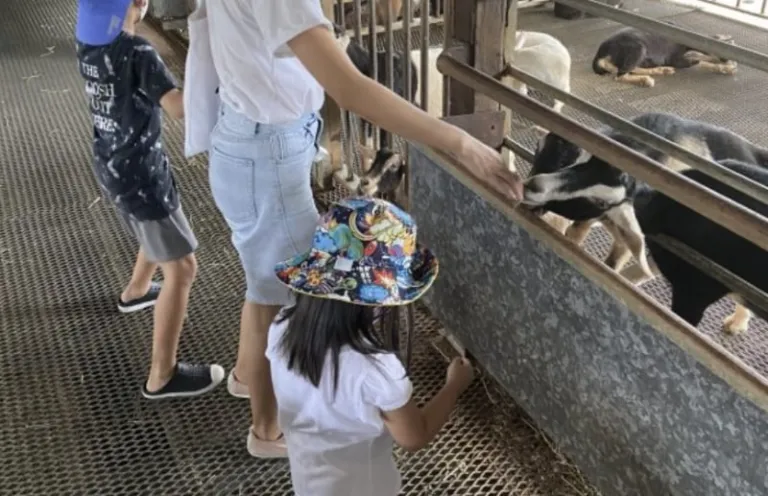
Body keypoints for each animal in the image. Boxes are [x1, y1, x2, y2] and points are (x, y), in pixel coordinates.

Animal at [592, 24, 737, 88]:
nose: (727, 59)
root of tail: (599, 55)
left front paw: (727, 66)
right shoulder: (678, 59)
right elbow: (702, 59)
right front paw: (728, 66)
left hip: (640, 55)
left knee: (630, 69)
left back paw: (661, 70)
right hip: (638, 48)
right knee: (620, 75)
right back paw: (645, 80)